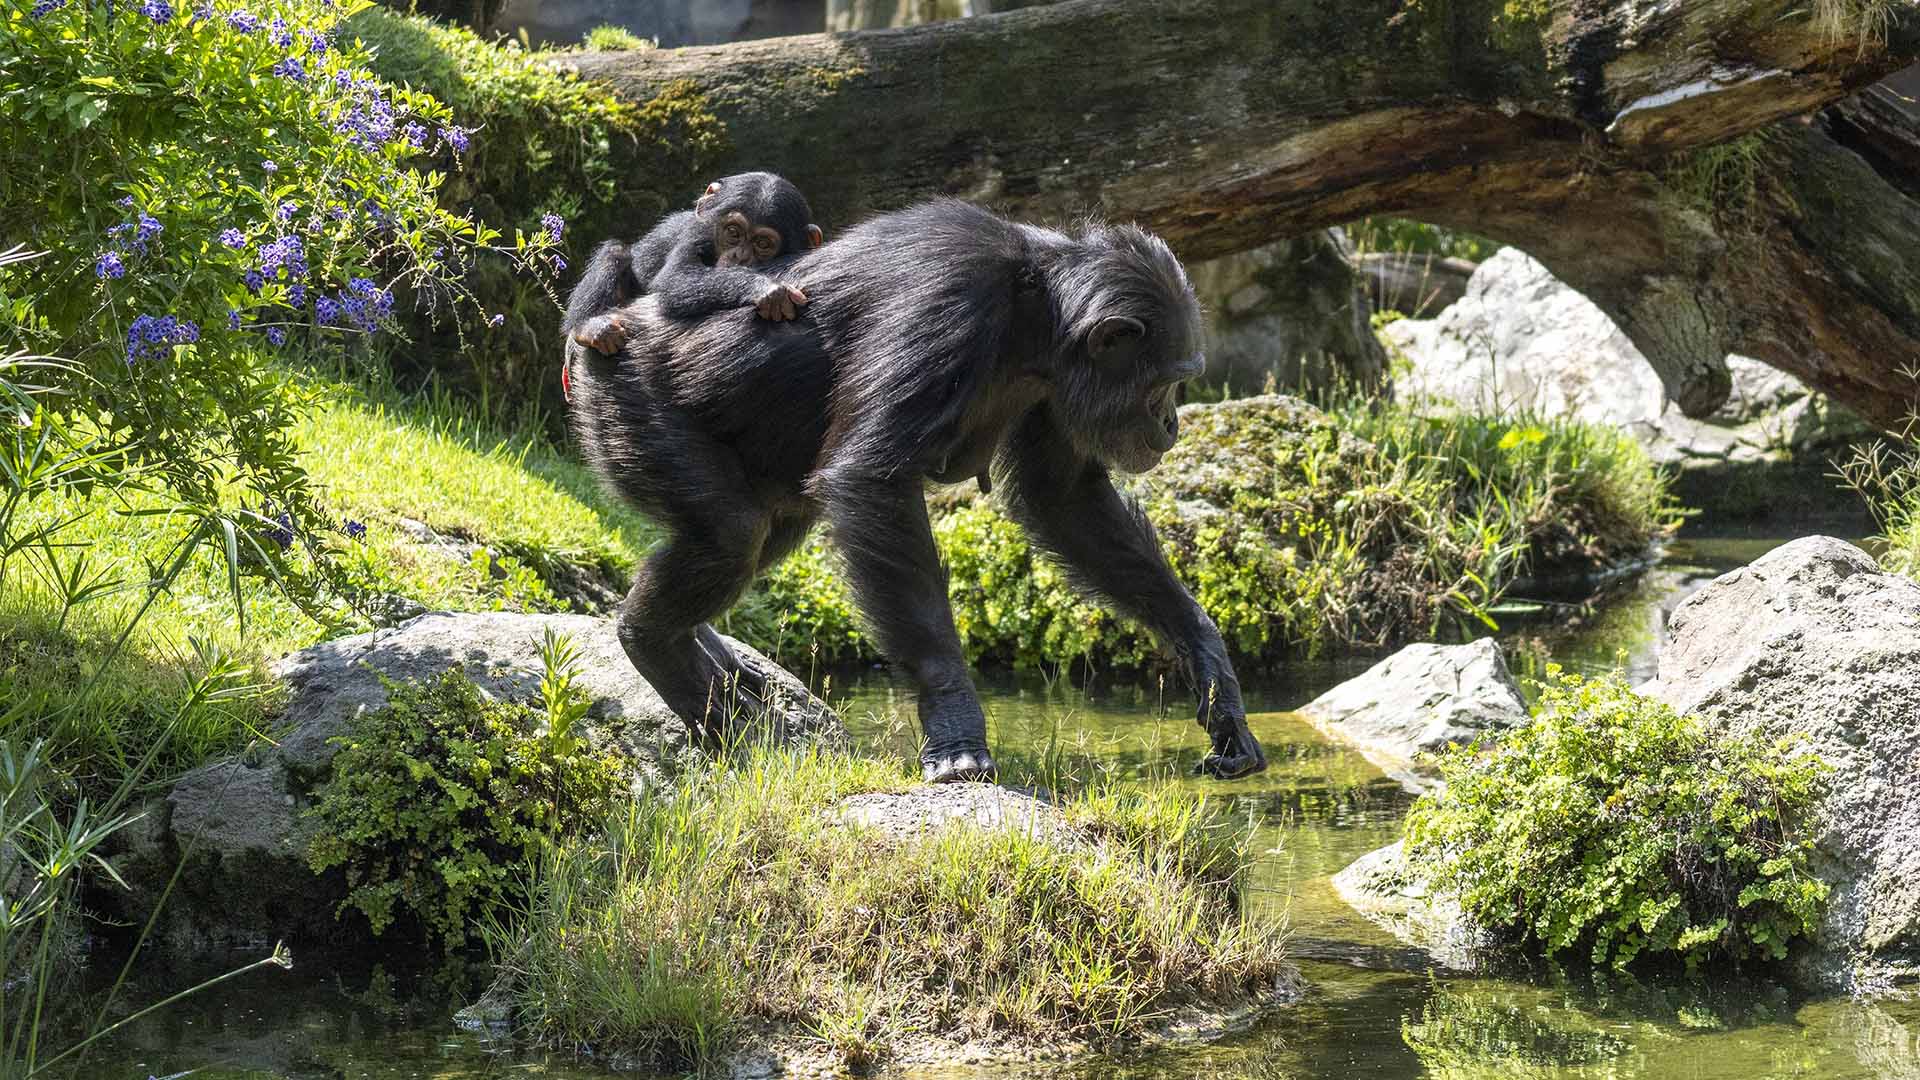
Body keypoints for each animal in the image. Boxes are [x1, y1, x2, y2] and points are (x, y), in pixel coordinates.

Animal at [560, 168, 821, 353]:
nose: (740, 255)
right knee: (616, 253)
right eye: (733, 232)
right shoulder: (697, 232)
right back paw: (587, 327)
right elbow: (676, 276)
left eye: (763, 244)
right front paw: (768, 289)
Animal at [560, 197, 1267, 776]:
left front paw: (1213, 674)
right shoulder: (947, 302)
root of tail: (601, 327)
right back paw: (660, 649)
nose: (1173, 422)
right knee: (732, 534)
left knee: (763, 531)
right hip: (629, 400)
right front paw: (956, 728)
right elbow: (874, 478)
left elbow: (1066, 501)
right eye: (1167, 384)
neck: (1034, 308)